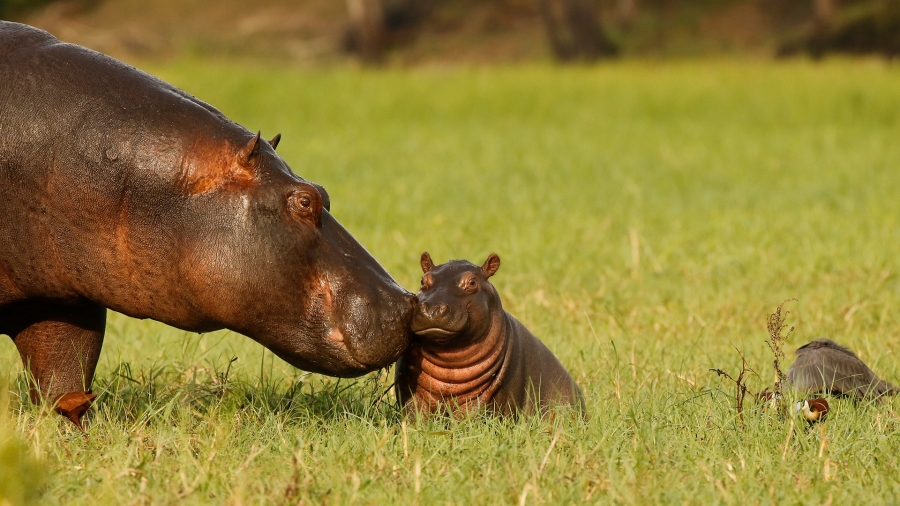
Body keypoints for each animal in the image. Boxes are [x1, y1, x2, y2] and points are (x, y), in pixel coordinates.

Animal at [394, 251, 584, 418]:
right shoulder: (409, 388)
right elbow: (414, 415)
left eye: (472, 282)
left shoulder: (485, 397)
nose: (432, 308)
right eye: (422, 280)